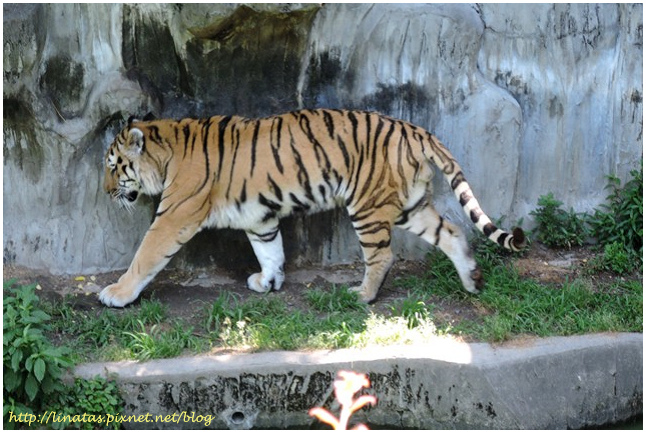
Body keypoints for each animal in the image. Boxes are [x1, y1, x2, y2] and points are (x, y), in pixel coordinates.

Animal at [101, 110, 528, 308]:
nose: (105, 192)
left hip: (367, 205)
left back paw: (362, 295)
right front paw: (268, 281)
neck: (166, 148)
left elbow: (145, 256)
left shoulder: (174, 216)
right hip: (410, 205)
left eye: (113, 167)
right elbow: (270, 250)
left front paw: (117, 294)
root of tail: (415, 130)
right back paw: (472, 280)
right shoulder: (260, 217)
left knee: (382, 255)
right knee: (452, 233)